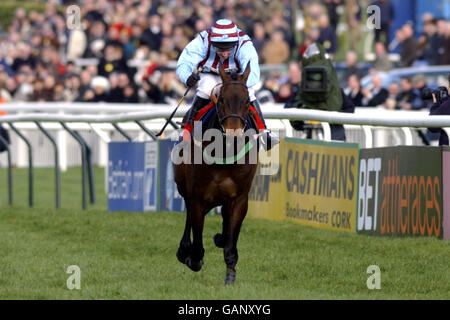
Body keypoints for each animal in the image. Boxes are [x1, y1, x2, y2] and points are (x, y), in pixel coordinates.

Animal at [173, 62, 258, 284]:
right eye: (221, 99)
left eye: (247, 101)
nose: (233, 135)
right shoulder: (198, 195)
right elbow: (197, 236)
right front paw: (192, 257)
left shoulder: (239, 198)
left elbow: (231, 240)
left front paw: (230, 275)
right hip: (183, 185)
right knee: (189, 214)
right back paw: (184, 250)